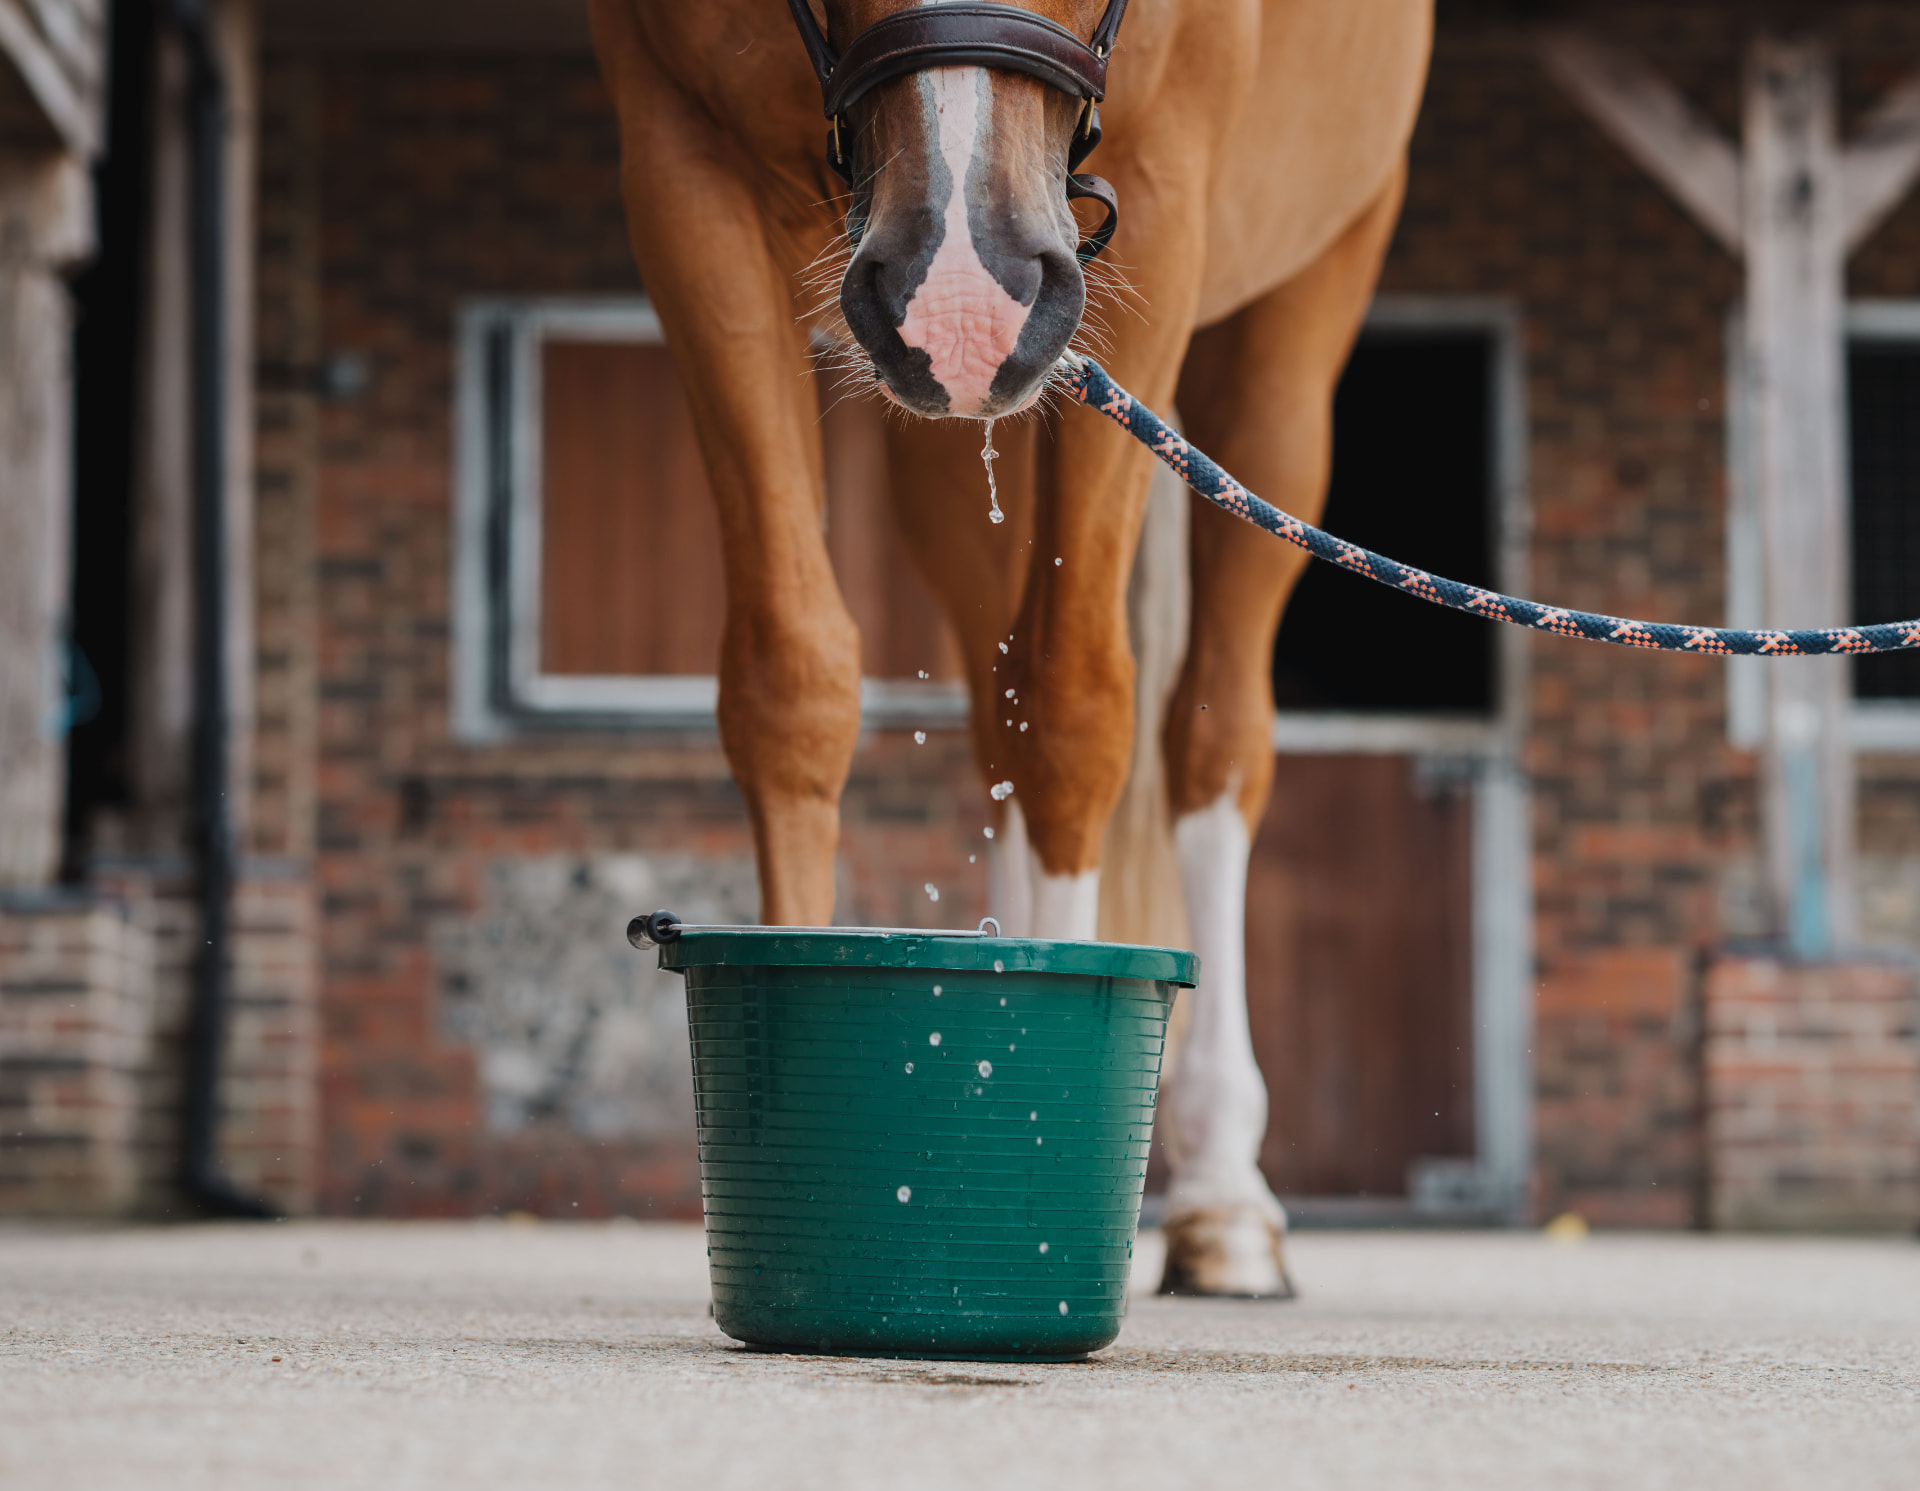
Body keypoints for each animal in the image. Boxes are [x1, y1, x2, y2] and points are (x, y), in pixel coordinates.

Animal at [591, 0, 1432, 1296]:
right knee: (997, 709)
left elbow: (1078, 706)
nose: (962, 301)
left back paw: (1224, 1200)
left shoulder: (1162, 205)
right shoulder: (682, 179)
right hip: (958, 437)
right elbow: (792, 680)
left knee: (1209, 739)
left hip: (1289, 325)